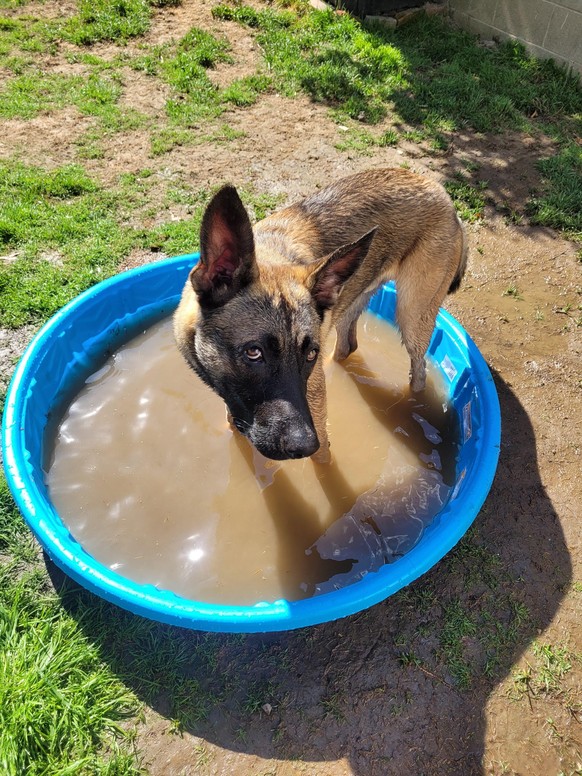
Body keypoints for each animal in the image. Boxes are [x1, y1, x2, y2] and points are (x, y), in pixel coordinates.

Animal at [175, 167, 470, 464]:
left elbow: (324, 461)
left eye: (310, 354)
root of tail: (439, 190)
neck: (271, 255)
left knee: (419, 371)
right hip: (350, 303)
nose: (305, 445)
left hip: (412, 317)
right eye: (253, 352)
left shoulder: (315, 416)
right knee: (347, 346)